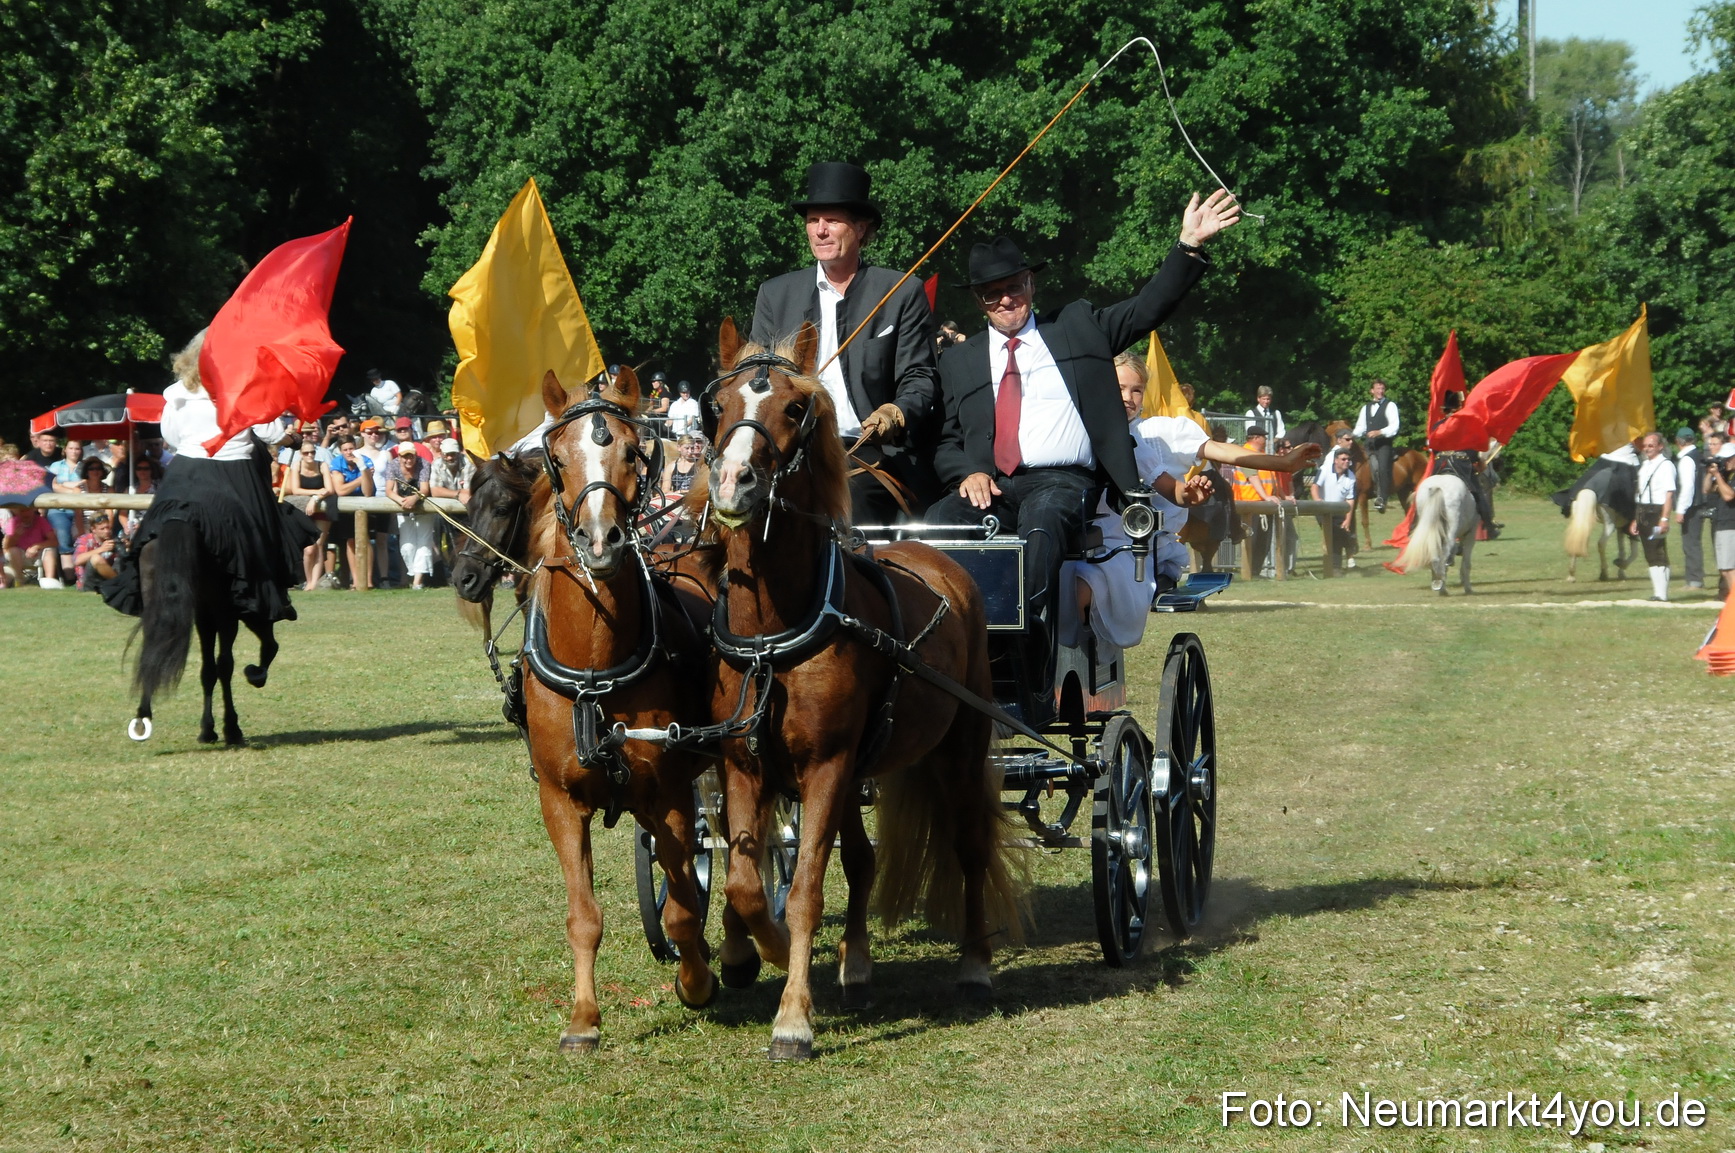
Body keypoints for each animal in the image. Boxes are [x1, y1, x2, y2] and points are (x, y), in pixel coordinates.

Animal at [519, 365, 718, 1052]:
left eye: (633, 451)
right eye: (555, 457)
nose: (600, 540)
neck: (595, 669)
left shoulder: (668, 795)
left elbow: (683, 907)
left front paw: (696, 983)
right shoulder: (558, 801)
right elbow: (584, 915)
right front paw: (583, 1019)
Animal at [695, 319, 1020, 1061]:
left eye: (794, 408)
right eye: (716, 406)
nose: (732, 481)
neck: (775, 629)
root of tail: (932, 551)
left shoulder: (826, 765)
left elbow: (806, 890)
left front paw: (792, 1017)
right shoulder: (744, 762)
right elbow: (744, 880)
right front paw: (749, 952)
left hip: (957, 750)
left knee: (968, 846)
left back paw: (975, 965)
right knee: (865, 858)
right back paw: (857, 964)